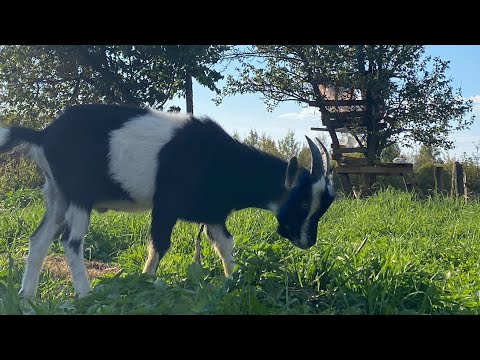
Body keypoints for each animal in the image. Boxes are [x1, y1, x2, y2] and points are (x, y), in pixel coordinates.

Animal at [0, 103, 336, 298]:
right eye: (303, 203)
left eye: (323, 207)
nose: (307, 241)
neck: (218, 160)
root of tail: (43, 135)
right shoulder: (165, 206)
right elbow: (159, 245)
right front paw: (144, 285)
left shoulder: (213, 213)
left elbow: (225, 245)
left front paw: (235, 282)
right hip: (79, 194)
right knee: (70, 242)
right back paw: (85, 296)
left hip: (57, 194)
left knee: (39, 239)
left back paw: (26, 298)